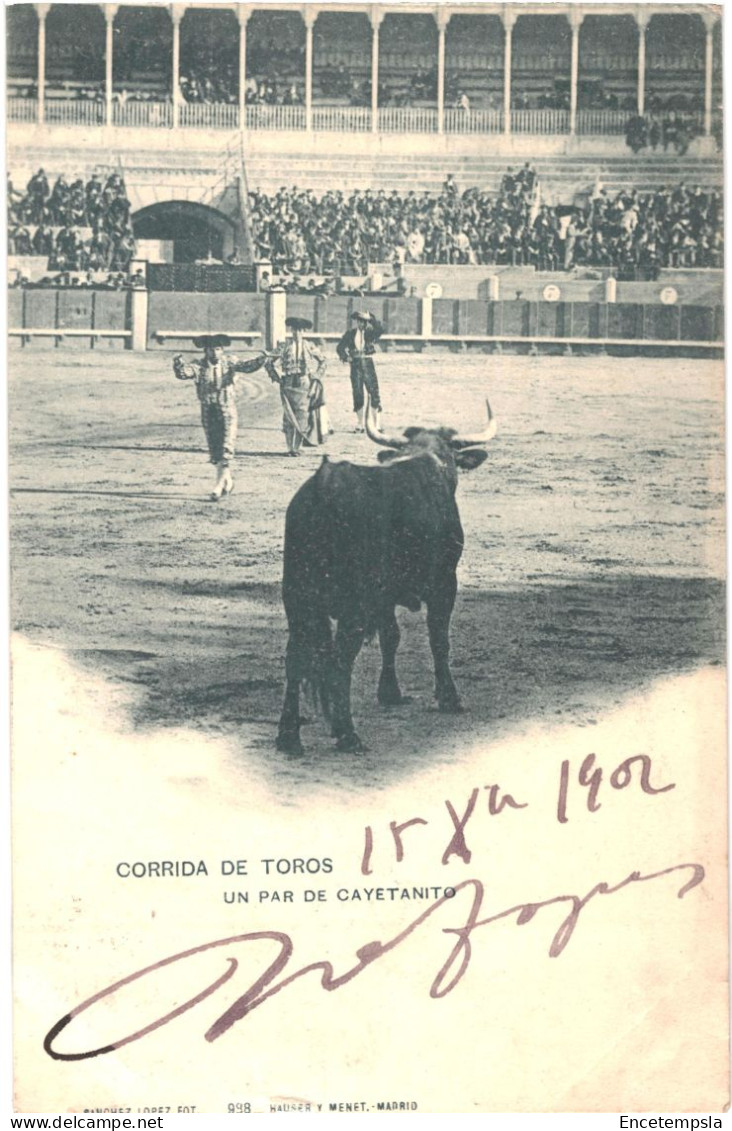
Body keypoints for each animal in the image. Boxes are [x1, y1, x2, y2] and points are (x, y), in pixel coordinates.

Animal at [274, 398, 497, 750]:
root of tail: (325, 485)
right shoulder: (444, 582)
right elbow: (438, 639)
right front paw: (449, 697)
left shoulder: (384, 597)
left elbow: (391, 636)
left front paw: (390, 692)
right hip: (351, 605)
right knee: (340, 660)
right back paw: (347, 734)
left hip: (297, 597)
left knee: (295, 657)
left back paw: (289, 736)